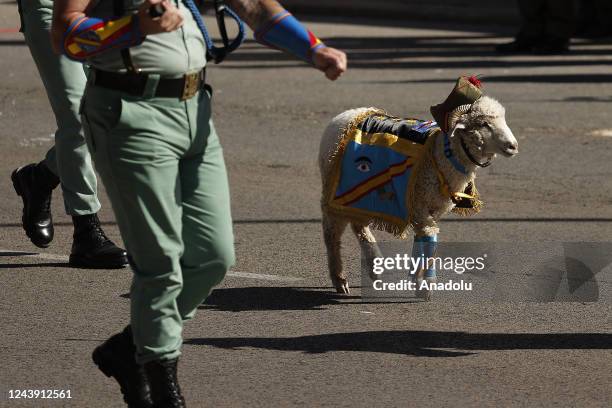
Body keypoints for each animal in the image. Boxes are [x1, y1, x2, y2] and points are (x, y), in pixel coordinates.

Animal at [320, 85, 516, 300]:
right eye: (483, 124)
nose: (513, 146)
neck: (442, 155)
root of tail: (344, 115)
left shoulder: (431, 209)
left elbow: (423, 240)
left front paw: (417, 279)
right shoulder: (420, 205)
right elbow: (429, 239)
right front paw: (425, 285)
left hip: (359, 196)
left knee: (359, 227)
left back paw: (375, 269)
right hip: (335, 192)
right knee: (331, 234)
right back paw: (340, 279)